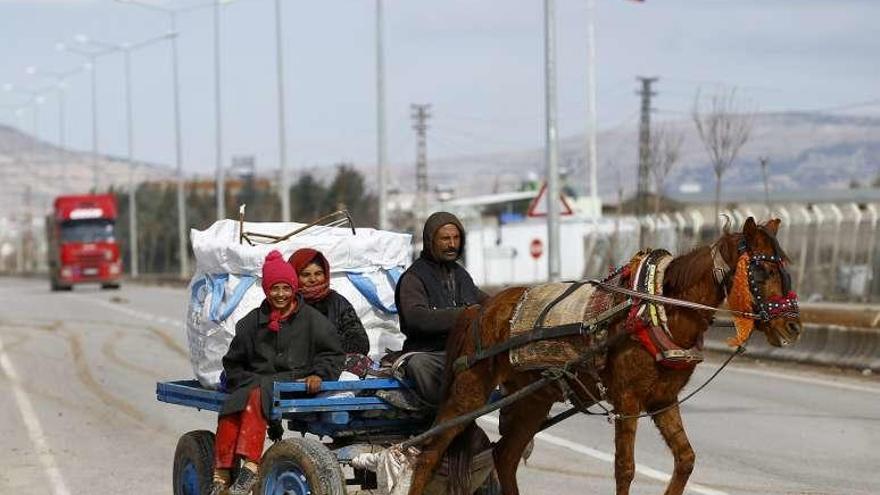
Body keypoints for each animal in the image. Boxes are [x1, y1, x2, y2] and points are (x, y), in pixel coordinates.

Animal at [410, 217, 800, 495]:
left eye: (786, 266)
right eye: (763, 270)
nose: (793, 326)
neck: (656, 308)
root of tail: (479, 308)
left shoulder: (663, 399)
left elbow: (686, 460)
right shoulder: (627, 398)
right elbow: (624, 469)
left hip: (533, 397)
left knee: (504, 456)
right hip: (470, 389)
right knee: (429, 452)